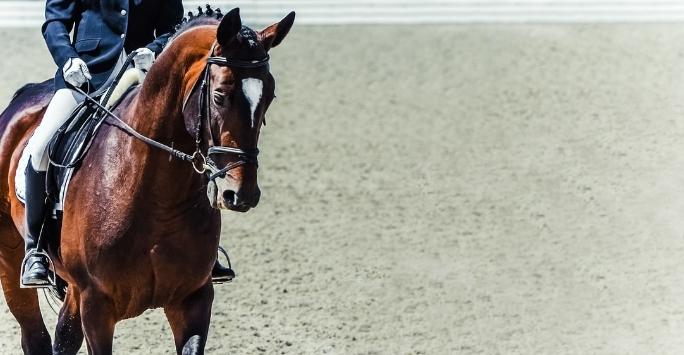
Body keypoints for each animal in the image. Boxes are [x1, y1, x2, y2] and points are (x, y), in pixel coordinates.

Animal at [0, 8, 292, 355]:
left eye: (270, 96)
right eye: (220, 96)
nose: (241, 193)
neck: (157, 197)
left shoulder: (193, 298)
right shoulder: (95, 304)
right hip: (11, 258)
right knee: (36, 335)